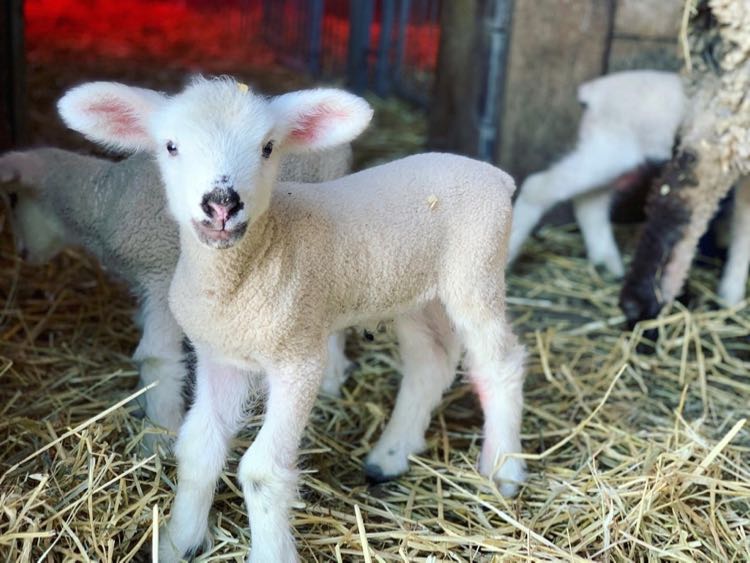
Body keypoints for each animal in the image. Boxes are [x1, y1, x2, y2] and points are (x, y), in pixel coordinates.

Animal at [0, 140, 356, 446]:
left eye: (13, 199)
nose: (22, 253)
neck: (104, 200)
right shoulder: (151, 285)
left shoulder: (161, 276)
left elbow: (156, 357)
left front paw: (159, 436)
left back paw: (331, 377)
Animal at [57, 76, 528, 563]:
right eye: (171, 146)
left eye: (267, 147)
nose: (222, 204)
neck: (249, 268)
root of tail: (494, 175)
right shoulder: (220, 357)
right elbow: (199, 449)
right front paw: (177, 541)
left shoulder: (297, 360)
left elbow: (262, 471)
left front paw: (268, 550)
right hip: (414, 295)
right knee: (430, 361)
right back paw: (390, 456)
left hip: (475, 275)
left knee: (499, 366)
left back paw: (503, 469)